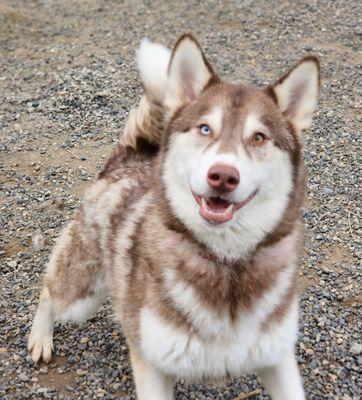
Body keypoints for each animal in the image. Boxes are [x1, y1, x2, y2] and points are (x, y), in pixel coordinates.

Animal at [28, 34, 320, 400]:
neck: (226, 266)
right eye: (205, 128)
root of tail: (128, 159)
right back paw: (40, 337)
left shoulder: (277, 357)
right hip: (82, 293)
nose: (223, 176)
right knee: (50, 290)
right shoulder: (151, 362)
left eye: (259, 137)